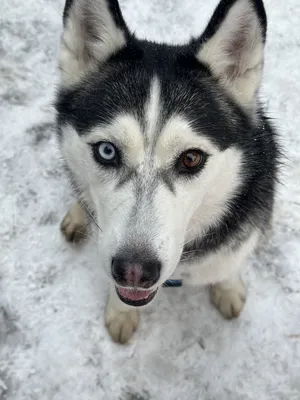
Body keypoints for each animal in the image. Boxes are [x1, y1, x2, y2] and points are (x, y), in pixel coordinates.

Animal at [55, 0, 278, 344]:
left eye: (191, 159)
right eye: (107, 151)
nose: (134, 271)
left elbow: (229, 264)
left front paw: (228, 288)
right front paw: (121, 313)